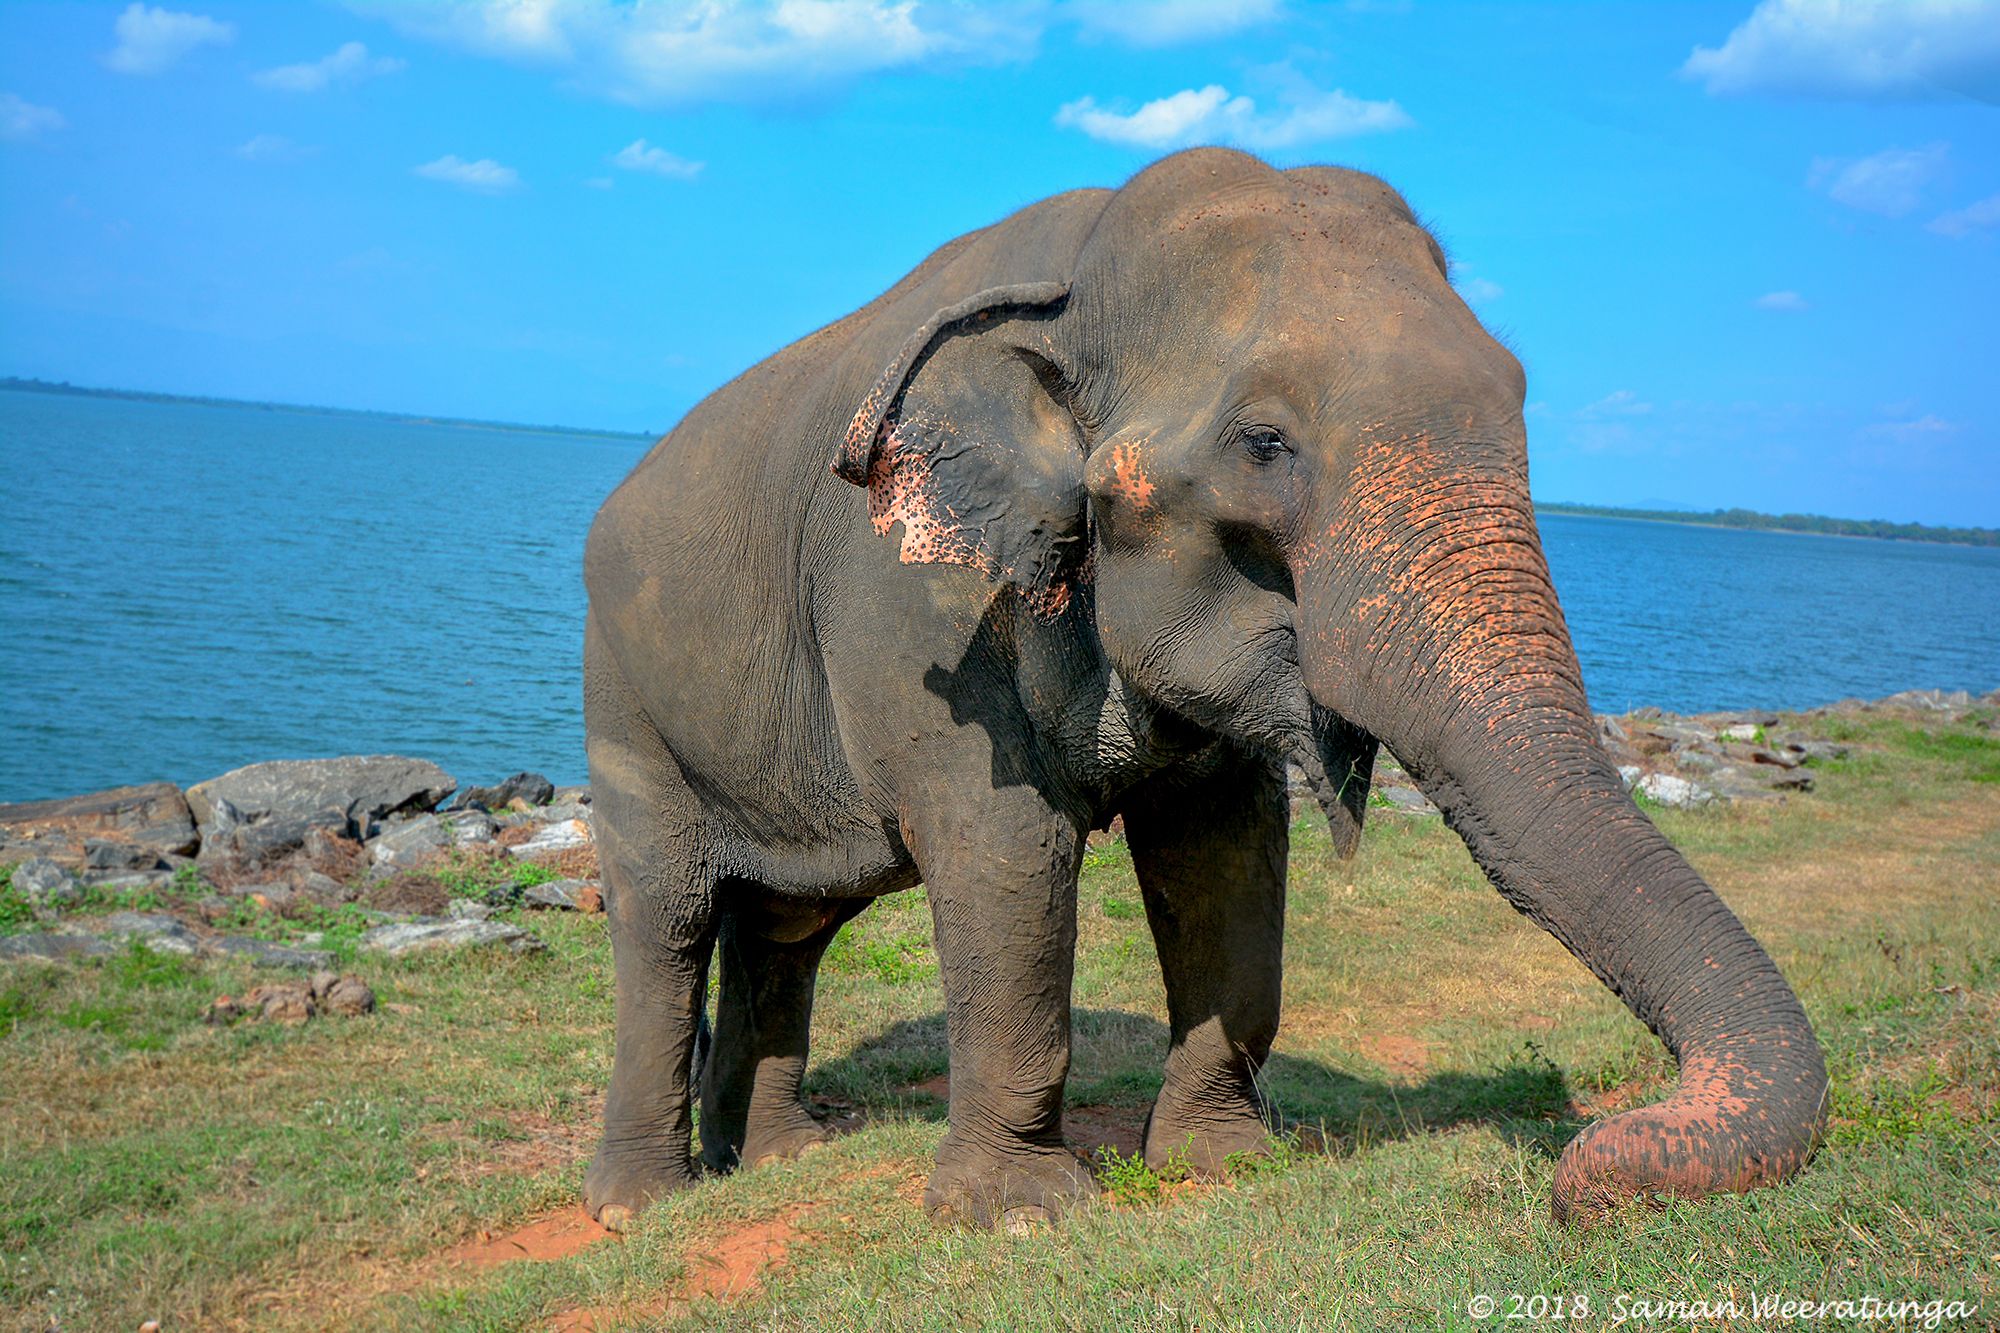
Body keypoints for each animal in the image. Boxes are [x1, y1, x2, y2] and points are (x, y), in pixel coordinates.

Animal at [579, 147, 1827, 1233]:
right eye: (1263, 443)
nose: (1587, 1165)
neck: (1075, 279)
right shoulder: (913, 606)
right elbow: (1005, 854)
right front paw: (1017, 1215)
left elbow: (1225, 853)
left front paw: (1217, 1164)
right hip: (620, 698)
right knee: (668, 914)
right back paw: (637, 1203)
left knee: (790, 918)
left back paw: (773, 1159)